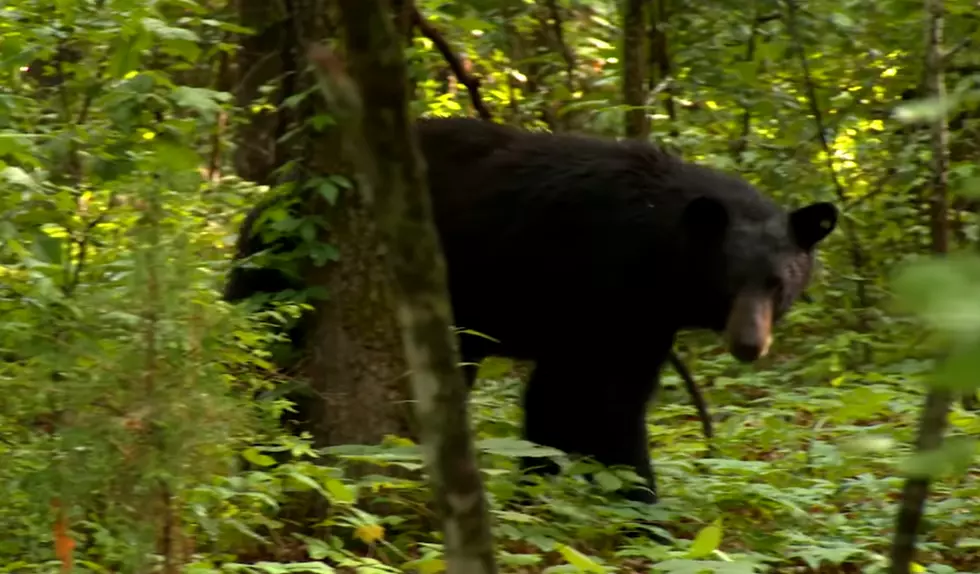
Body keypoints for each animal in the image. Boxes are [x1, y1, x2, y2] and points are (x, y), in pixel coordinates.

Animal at [224, 117, 838, 504]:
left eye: (778, 283)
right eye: (725, 281)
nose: (749, 344)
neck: (658, 248)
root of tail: (277, 191)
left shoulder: (643, 320)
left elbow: (586, 399)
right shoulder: (598, 286)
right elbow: (587, 401)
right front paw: (640, 503)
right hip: (282, 267)